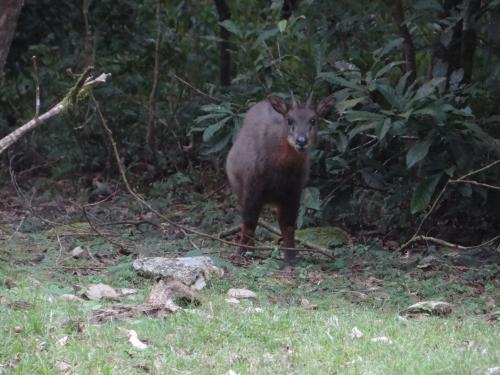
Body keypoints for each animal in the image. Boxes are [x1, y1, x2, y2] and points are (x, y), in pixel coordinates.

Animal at [227, 94, 336, 264]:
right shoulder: (252, 187)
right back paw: (250, 248)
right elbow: (249, 221)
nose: (301, 141)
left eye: (313, 120)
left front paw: (290, 259)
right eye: (290, 120)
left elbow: (288, 225)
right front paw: (239, 253)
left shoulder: (293, 191)